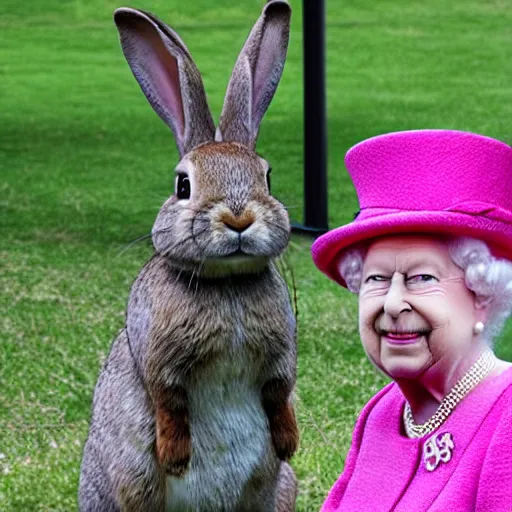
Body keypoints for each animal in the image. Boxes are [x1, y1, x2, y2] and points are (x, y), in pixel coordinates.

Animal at [78, 1, 298, 512]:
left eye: (268, 177)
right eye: (183, 185)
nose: (238, 218)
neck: (227, 284)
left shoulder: (281, 356)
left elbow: (279, 393)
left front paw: (289, 442)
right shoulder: (160, 356)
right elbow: (168, 400)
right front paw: (177, 456)